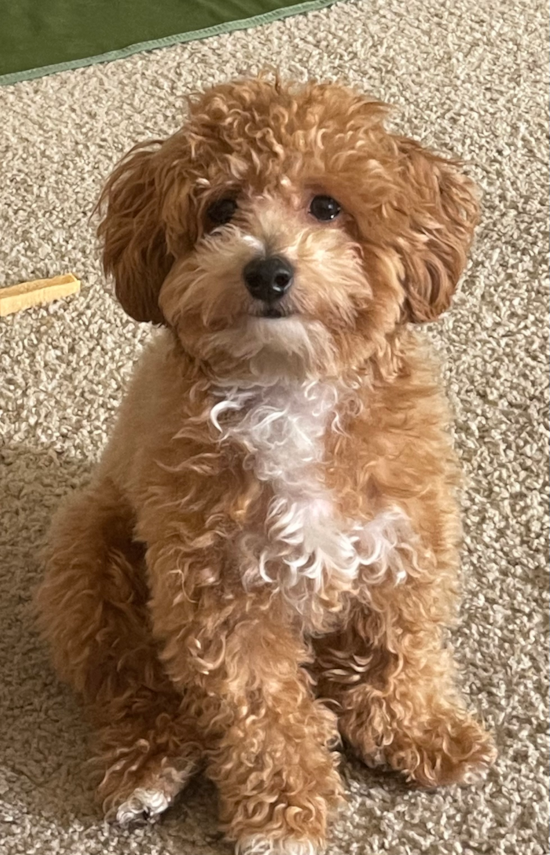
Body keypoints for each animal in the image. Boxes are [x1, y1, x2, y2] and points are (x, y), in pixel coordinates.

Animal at [36, 77, 498, 852]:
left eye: (327, 206)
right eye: (221, 208)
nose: (268, 270)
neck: (289, 386)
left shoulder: (402, 547)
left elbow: (398, 651)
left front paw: (418, 730)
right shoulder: (221, 601)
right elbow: (265, 719)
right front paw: (283, 816)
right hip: (90, 561)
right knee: (133, 686)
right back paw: (149, 768)